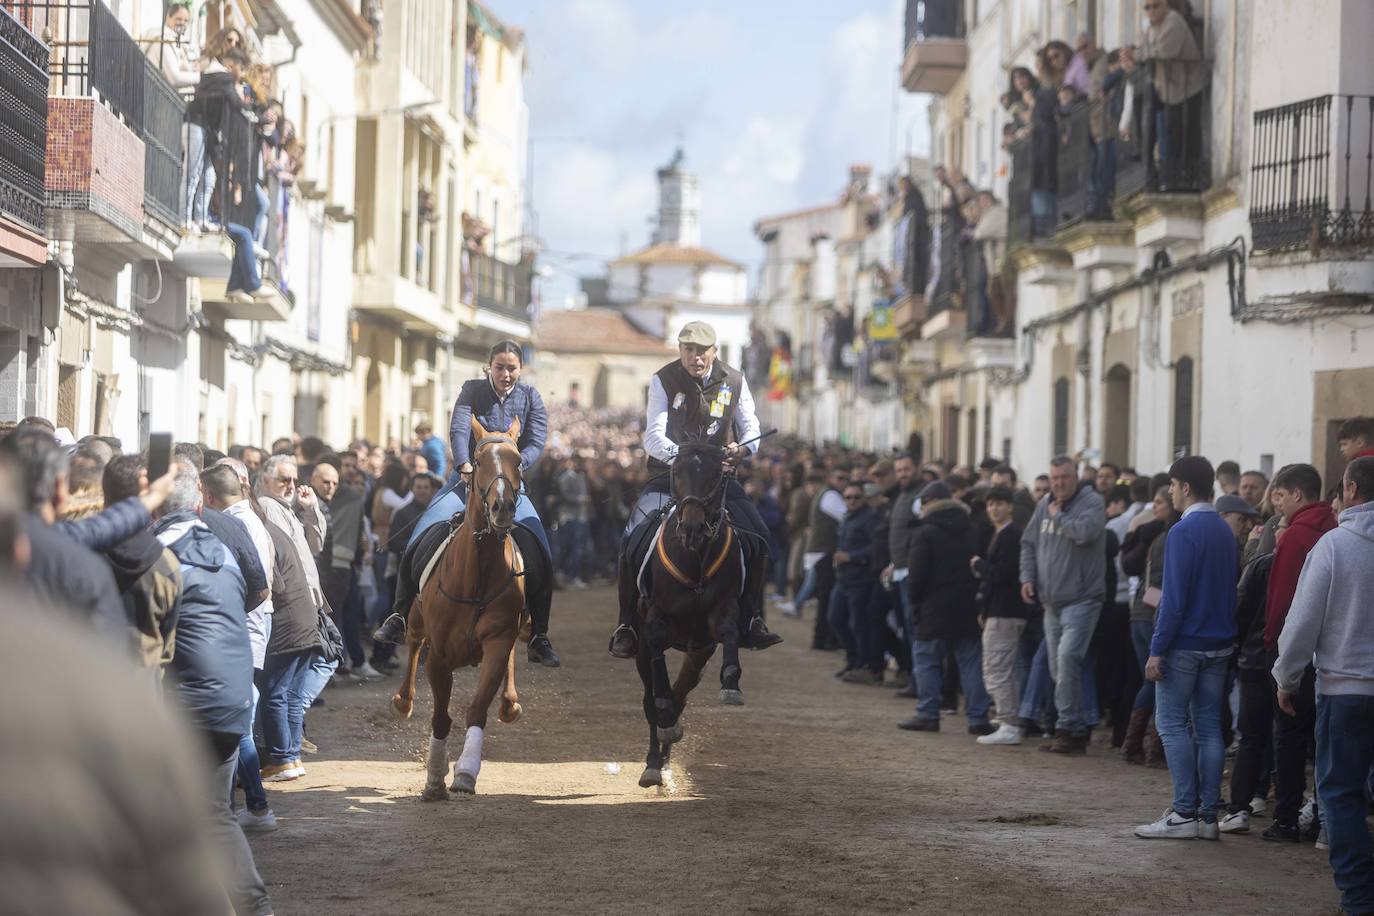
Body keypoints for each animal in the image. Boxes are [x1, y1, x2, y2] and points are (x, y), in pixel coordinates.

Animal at [395, 420, 533, 796]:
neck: (478, 572)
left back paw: (510, 703)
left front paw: (465, 771)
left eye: (518, 460)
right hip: (416, 621)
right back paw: (403, 700)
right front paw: (434, 777)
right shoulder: (440, 655)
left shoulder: (497, 641)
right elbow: (441, 716)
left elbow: (476, 709)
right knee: (413, 642)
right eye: (479, 459)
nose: (502, 507)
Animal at [629, 442, 747, 791]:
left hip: (698, 653)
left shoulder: (719, 614)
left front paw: (731, 684)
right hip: (641, 649)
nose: (692, 528)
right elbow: (658, 688)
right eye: (678, 471)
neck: (694, 559)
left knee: (681, 692)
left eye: (714, 474)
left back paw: (666, 759)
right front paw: (664, 726)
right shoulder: (653, 621)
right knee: (651, 697)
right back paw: (653, 764)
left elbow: (730, 631)